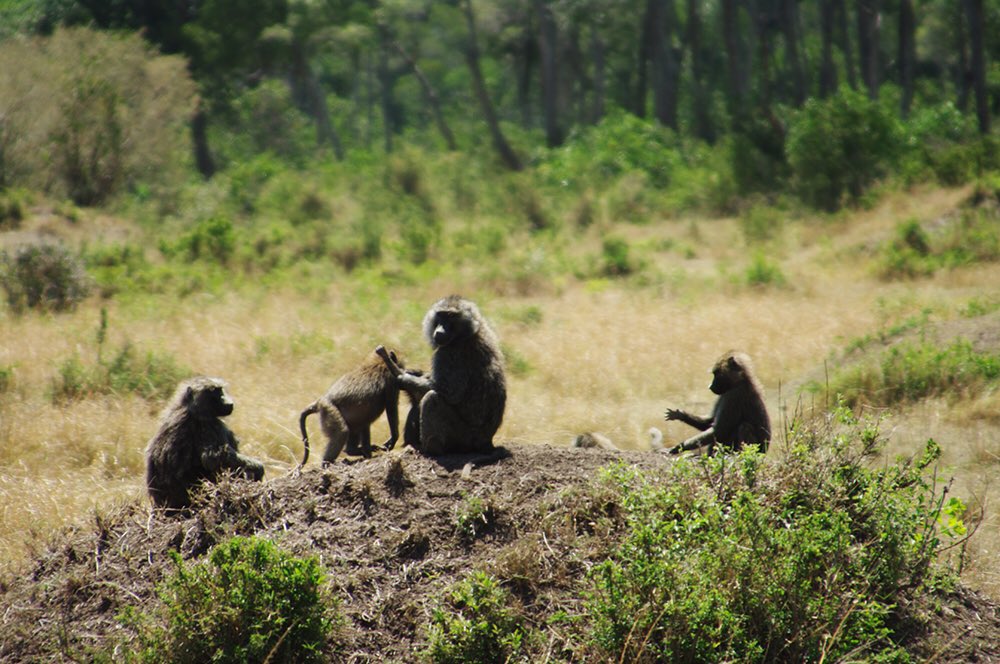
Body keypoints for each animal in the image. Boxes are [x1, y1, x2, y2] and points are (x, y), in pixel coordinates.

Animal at [145, 377, 264, 511]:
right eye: (215, 391)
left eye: (221, 390)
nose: (230, 403)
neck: (189, 408)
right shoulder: (207, 426)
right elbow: (213, 458)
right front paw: (258, 467)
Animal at [382, 296, 506, 456]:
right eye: (440, 316)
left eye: (451, 316)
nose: (439, 331)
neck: (468, 333)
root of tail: (486, 442)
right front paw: (414, 373)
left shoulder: (449, 354)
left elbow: (448, 392)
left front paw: (403, 378)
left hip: (464, 438)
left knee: (431, 398)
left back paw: (429, 449)